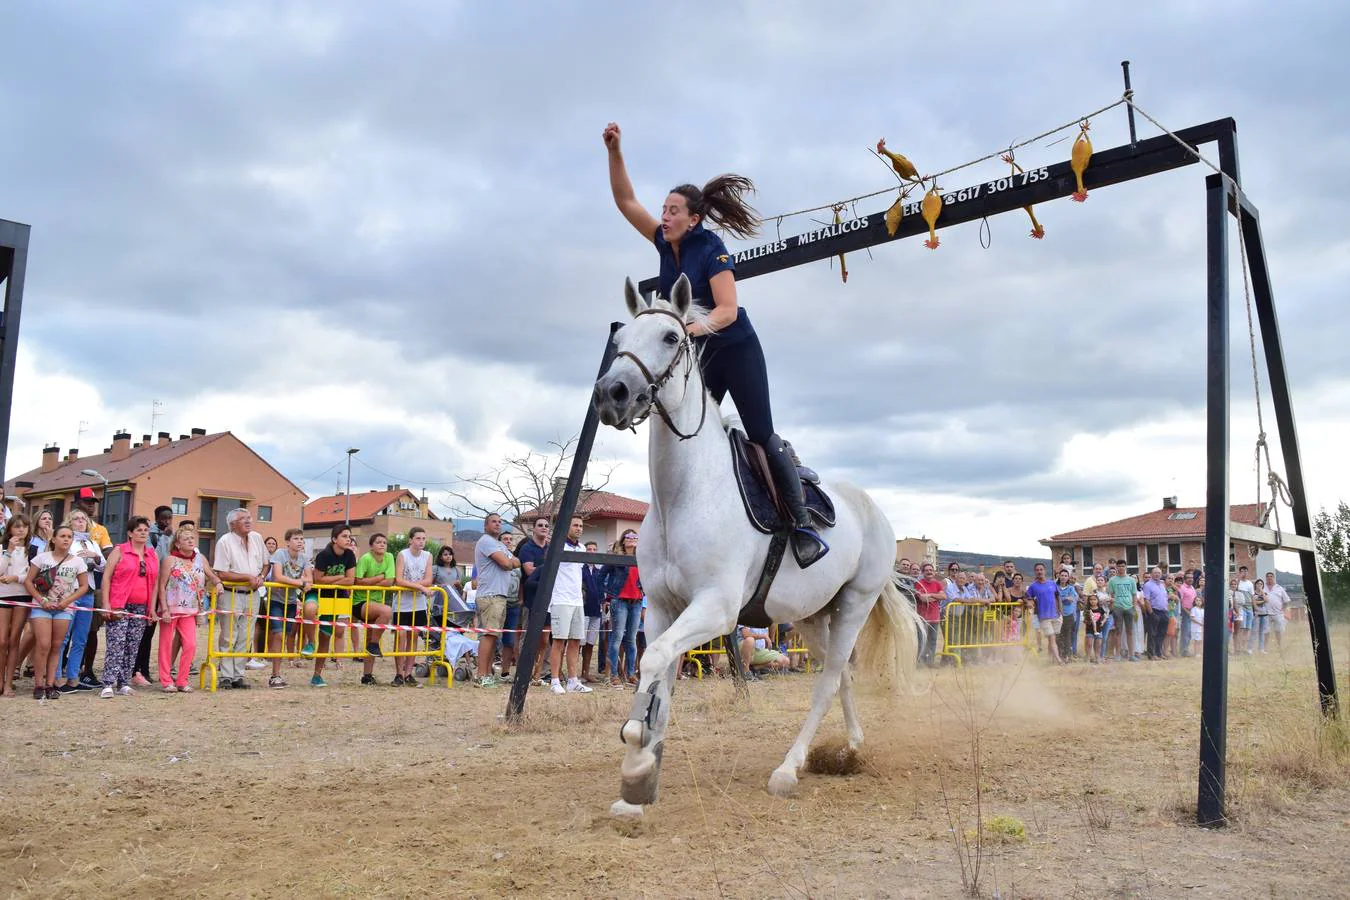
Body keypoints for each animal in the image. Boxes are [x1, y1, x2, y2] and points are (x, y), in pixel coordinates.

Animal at [594, 275, 923, 814]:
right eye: (618, 340)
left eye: (670, 337)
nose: (611, 394)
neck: (684, 494)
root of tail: (872, 509)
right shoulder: (662, 608)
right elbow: (657, 672)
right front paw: (640, 779)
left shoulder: (716, 607)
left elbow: (653, 661)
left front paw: (638, 762)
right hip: (811, 614)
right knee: (841, 678)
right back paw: (851, 748)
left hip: (854, 605)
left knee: (829, 681)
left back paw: (789, 768)